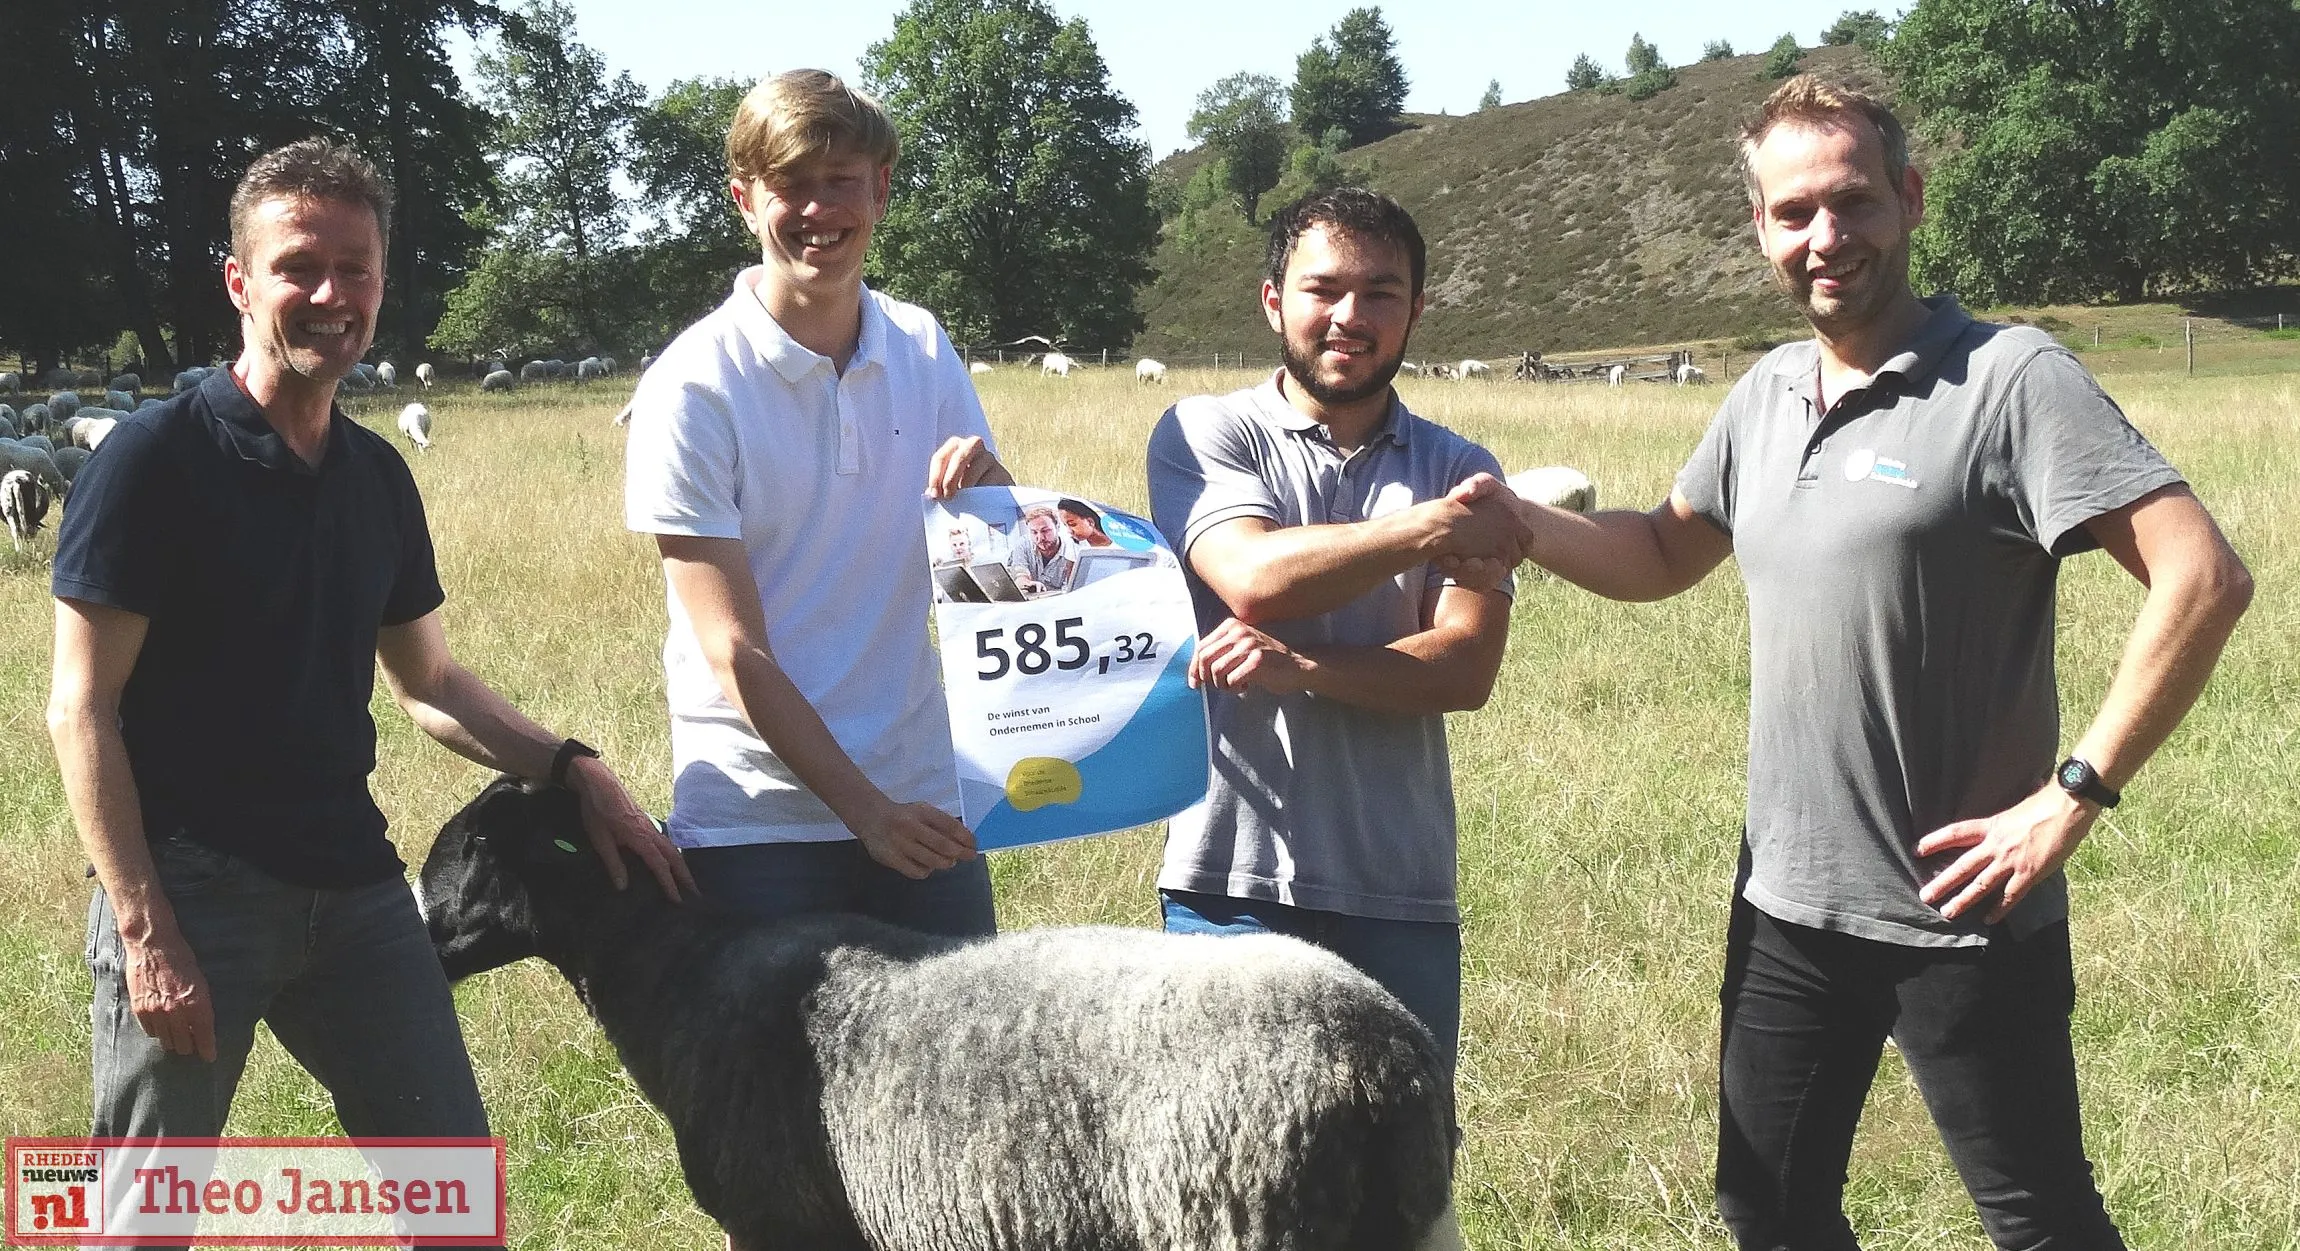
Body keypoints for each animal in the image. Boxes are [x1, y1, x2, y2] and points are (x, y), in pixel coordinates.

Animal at [418, 777, 1453, 1251]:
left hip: (1235, 1217)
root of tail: (1382, 1061)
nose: (419, 938)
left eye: (469, 848)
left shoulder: (776, 1220)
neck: (676, 972)